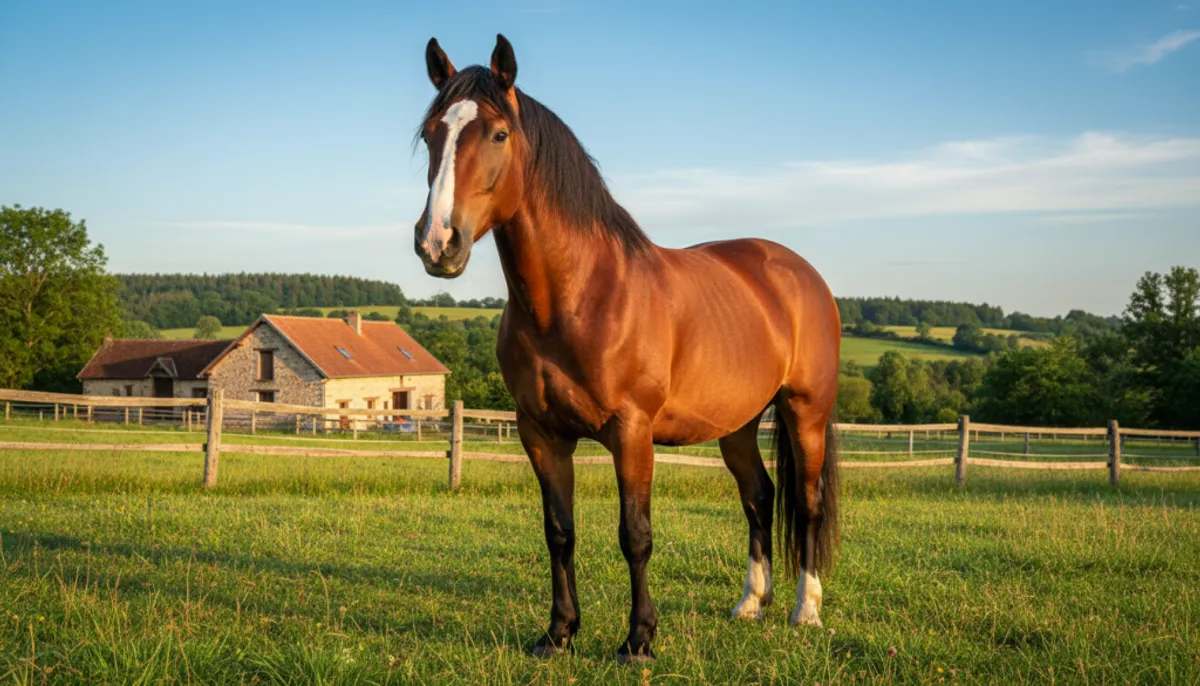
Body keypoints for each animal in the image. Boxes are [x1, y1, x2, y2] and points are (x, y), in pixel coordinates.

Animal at [411, 34, 842, 664]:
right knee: (759, 498)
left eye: (498, 134)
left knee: (807, 504)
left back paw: (804, 611)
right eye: (431, 134)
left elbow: (635, 535)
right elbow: (559, 533)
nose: (438, 242)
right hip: (736, 424)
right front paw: (558, 633)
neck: (581, 295)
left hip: (804, 412)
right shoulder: (541, 434)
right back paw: (749, 604)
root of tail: (801, 273)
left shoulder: (632, 432)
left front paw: (638, 640)